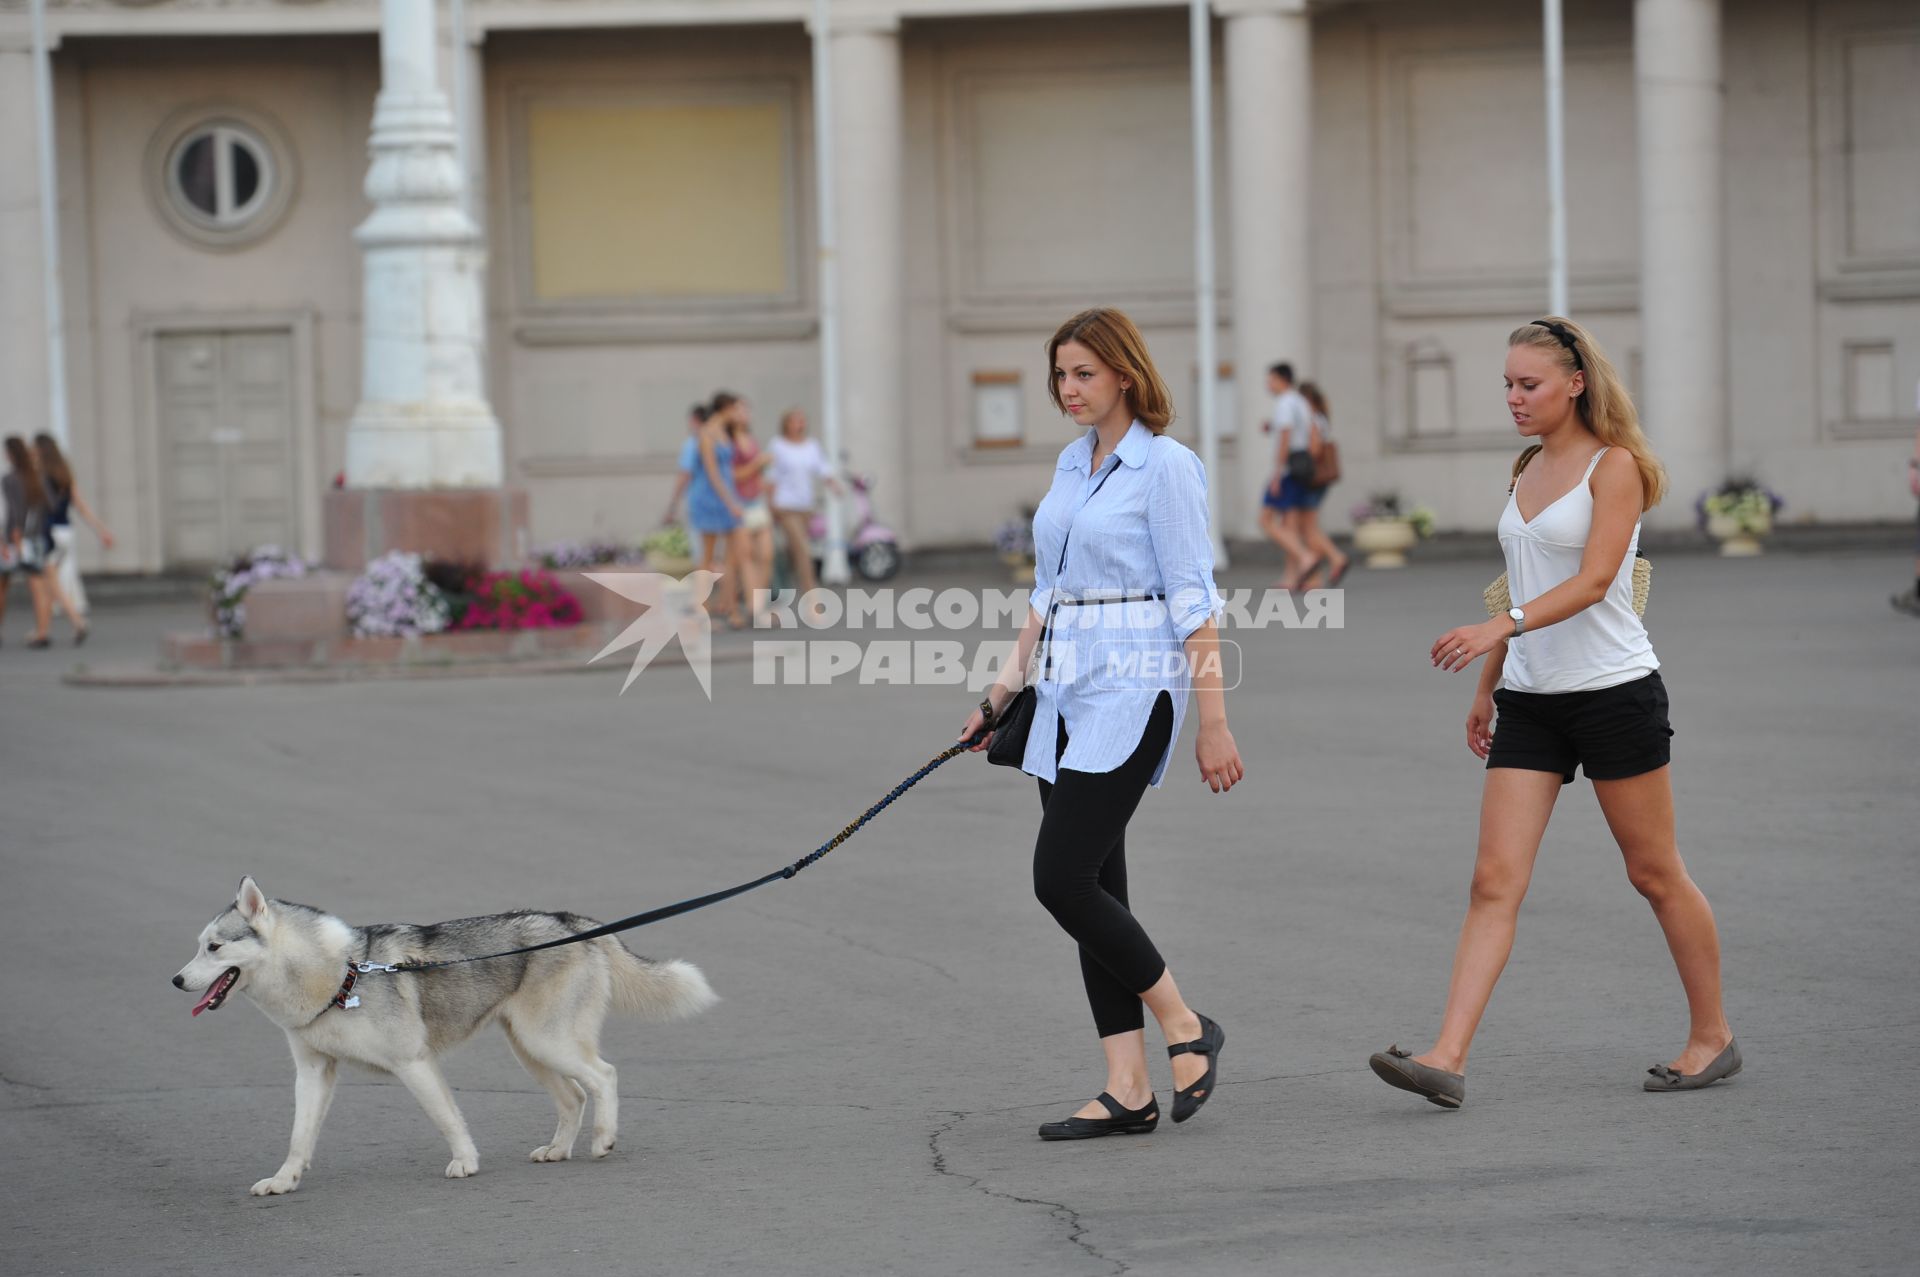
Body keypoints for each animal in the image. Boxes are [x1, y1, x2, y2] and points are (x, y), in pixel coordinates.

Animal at [174, 875, 721, 1198]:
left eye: (214, 947)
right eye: (199, 947)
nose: (176, 981)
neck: (342, 975)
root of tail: (569, 921)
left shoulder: (413, 1063)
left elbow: (447, 1119)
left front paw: (466, 1163)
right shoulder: (313, 1073)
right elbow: (298, 1136)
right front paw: (285, 1180)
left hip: (548, 1042)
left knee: (604, 1077)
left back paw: (604, 1140)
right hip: (530, 1049)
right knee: (573, 1098)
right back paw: (558, 1150)